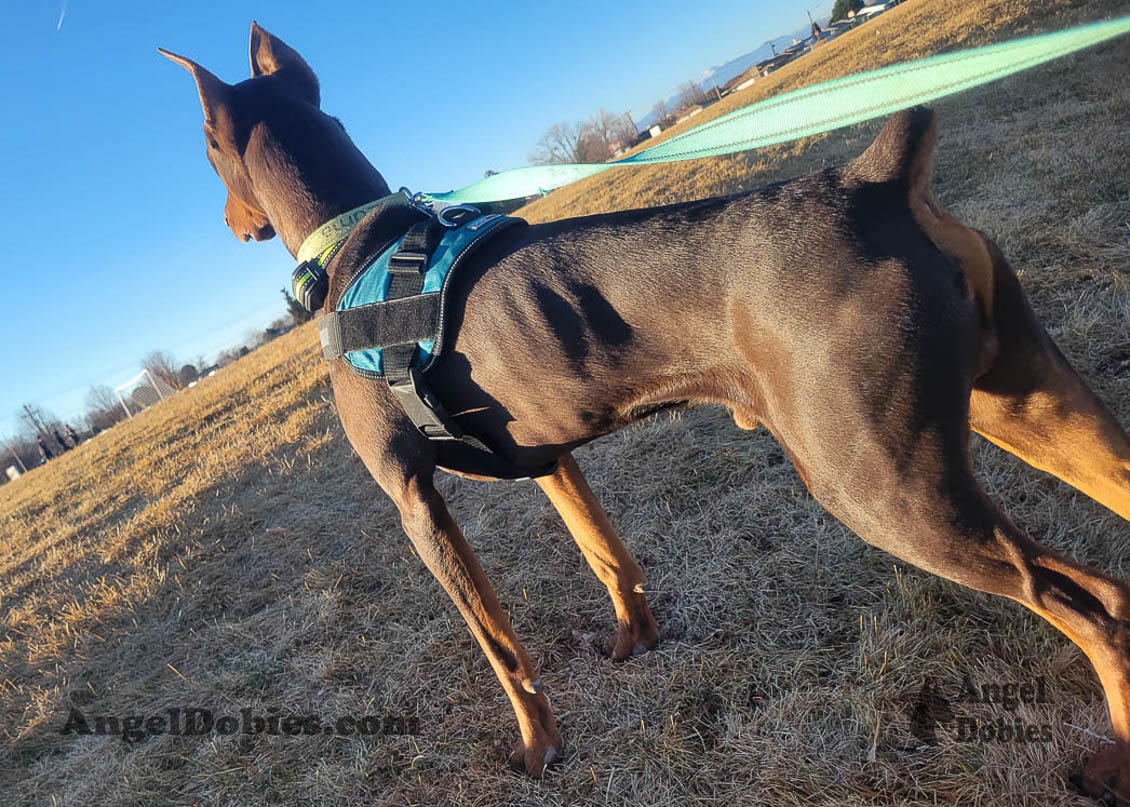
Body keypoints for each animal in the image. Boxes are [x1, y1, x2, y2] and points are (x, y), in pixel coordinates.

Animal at [159, 23, 1130, 800]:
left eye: (204, 149)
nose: (230, 221)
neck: (358, 246)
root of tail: (873, 179)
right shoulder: (549, 456)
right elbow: (605, 554)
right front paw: (636, 640)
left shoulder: (413, 502)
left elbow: (500, 645)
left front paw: (539, 749)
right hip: (1025, 404)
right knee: (1112, 567)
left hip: (879, 486)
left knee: (1091, 612)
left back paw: (1110, 759)